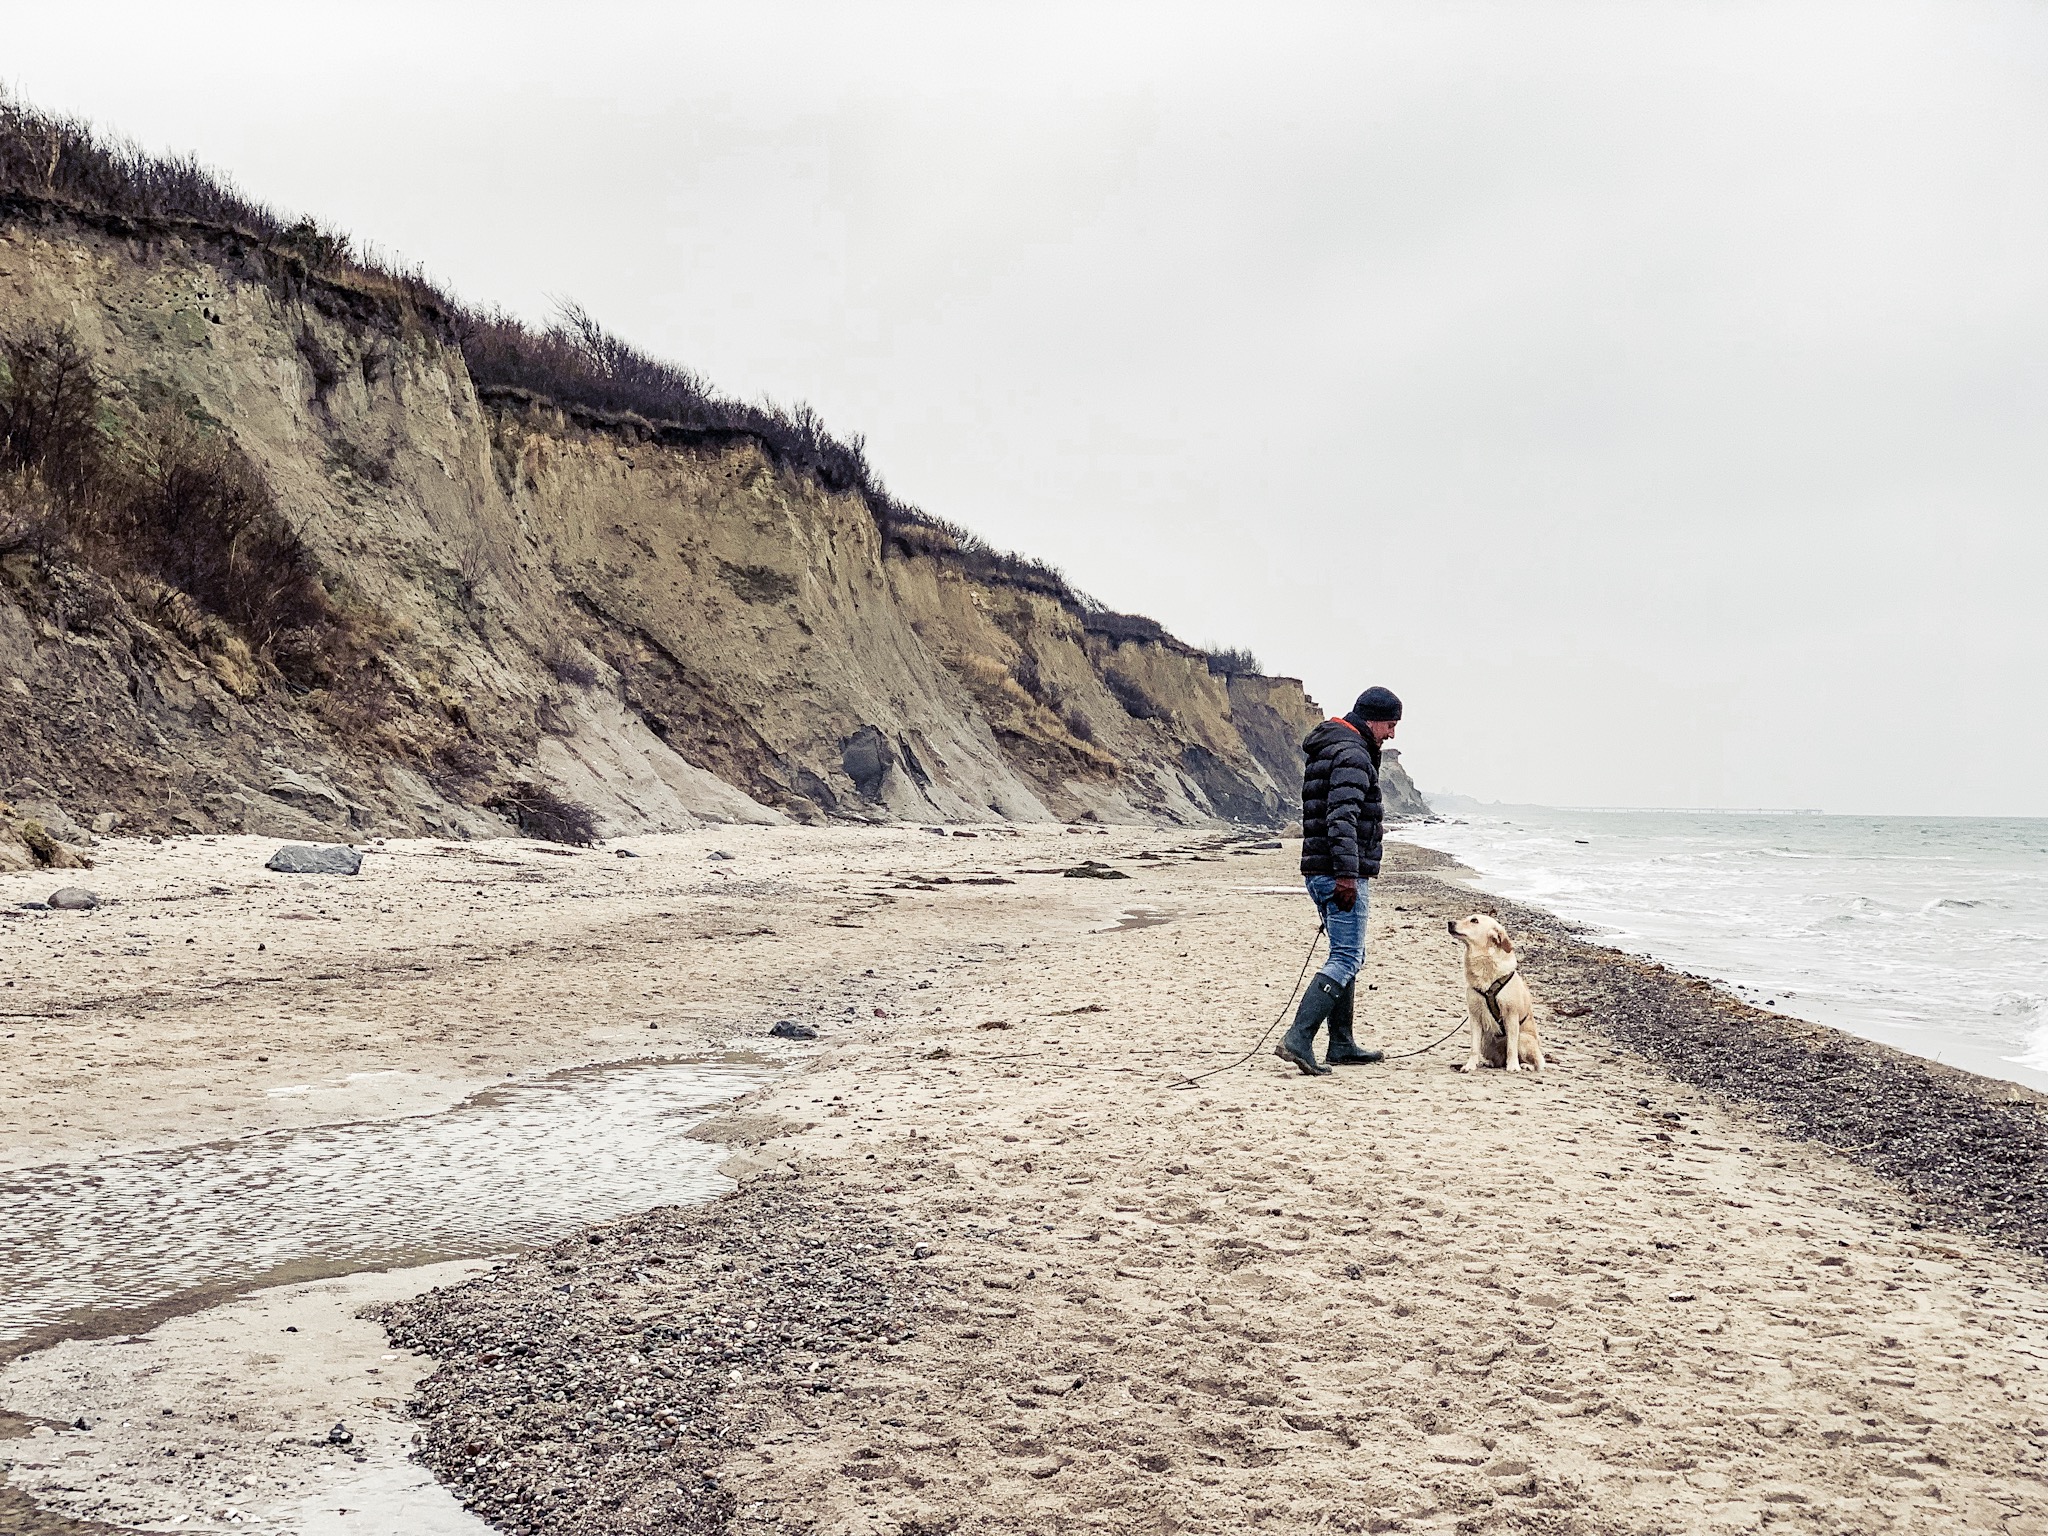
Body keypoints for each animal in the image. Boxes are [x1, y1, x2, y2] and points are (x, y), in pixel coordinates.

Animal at [1449, 921, 1540, 1073]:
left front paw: (1513, 1066)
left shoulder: (1511, 1015)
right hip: (1486, 1041)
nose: (1450, 923)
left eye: (1474, 920)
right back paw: (1489, 1063)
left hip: (1523, 1038)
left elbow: (1511, 1047)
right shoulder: (1475, 1016)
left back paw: (1525, 1065)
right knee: (1498, 1060)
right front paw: (1470, 1065)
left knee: (1538, 1063)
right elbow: (1474, 1048)